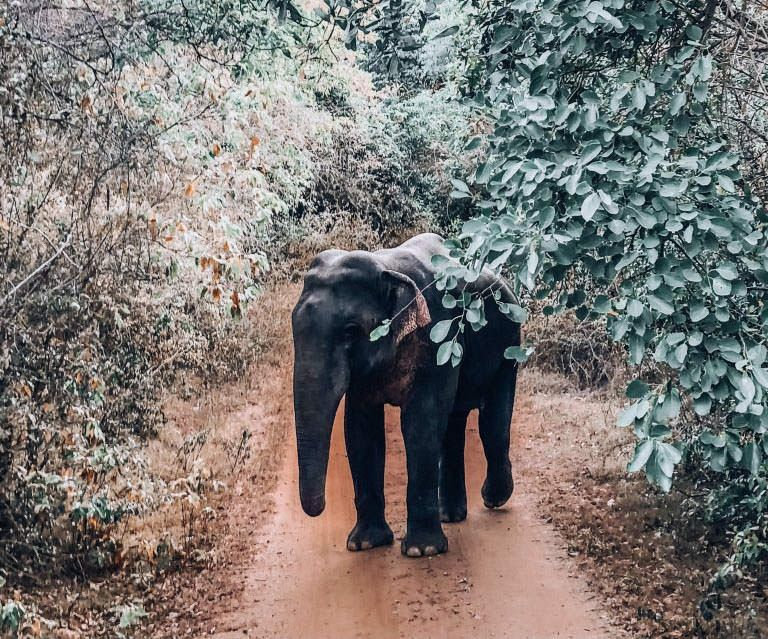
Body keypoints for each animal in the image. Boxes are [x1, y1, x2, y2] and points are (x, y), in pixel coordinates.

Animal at [292, 232, 520, 556]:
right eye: (294, 327)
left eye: (350, 331)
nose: (317, 510)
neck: (386, 265)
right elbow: (360, 430)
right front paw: (364, 543)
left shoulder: (437, 337)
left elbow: (420, 424)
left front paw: (421, 551)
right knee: (453, 424)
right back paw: (450, 515)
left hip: (509, 344)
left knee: (492, 423)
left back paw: (494, 499)